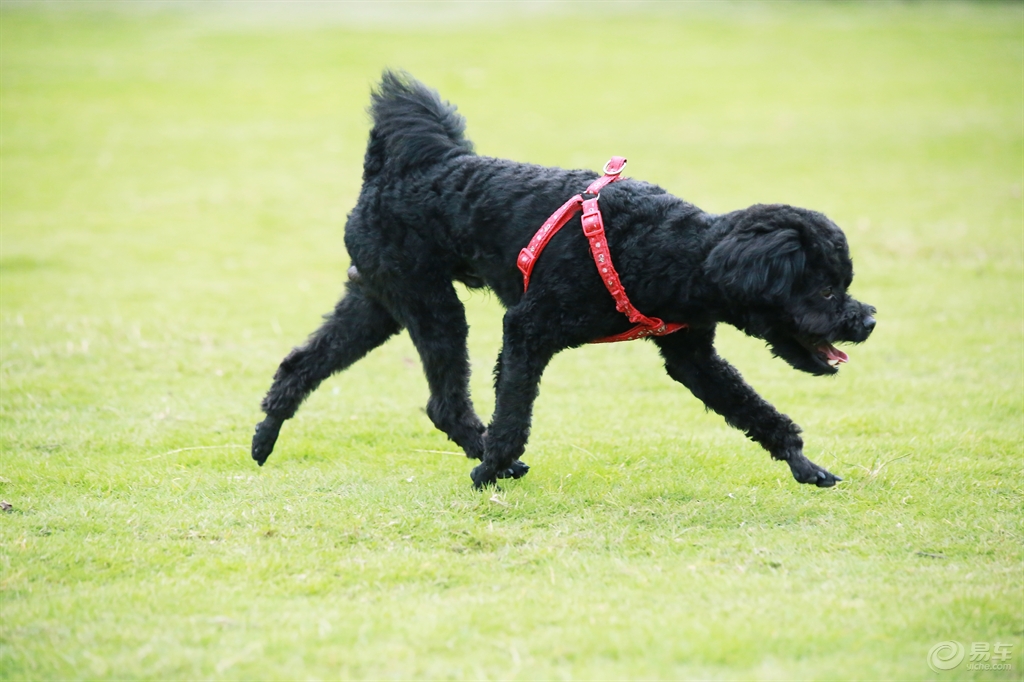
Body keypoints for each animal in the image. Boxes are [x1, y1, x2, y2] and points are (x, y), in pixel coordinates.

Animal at [251, 71, 876, 485]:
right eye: (825, 289)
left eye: (843, 284)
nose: (867, 319)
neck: (675, 249)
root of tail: (392, 172)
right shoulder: (527, 328)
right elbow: (513, 415)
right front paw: (491, 469)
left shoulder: (690, 354)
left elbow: (755, 411)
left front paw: (804, 464)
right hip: (428, 302)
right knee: (444, 404)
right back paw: (488, 460)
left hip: (379, 298)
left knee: (301, 363)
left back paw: (264, 437)